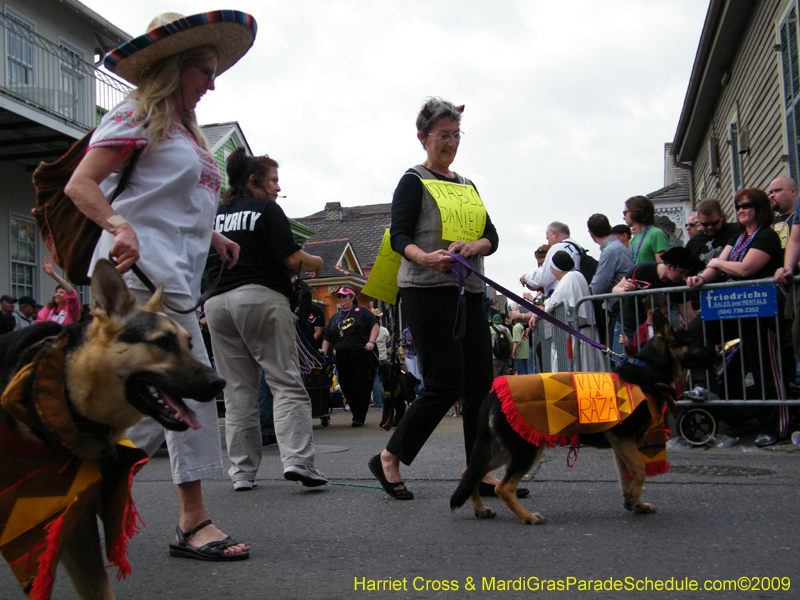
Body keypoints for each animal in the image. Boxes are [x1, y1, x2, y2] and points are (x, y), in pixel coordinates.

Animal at [0, 258, 225, 600]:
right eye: (162, 342)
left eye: (189, 344)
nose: (219, 383)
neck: (68, 396)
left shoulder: (75, 526)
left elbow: (98, 589)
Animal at [450, 310, 720, 524]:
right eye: (693, 341)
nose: (717, 354)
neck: (648, 371)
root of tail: (493, 395)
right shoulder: (623, 439)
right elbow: (640, 469)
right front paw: (634, 499)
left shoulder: (621, 444)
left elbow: (628, 475)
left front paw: (635, 502)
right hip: (526, 449)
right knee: (503, 487)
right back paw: (527, 517)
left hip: (501, 449)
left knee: (469, 472)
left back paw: (481, 509)